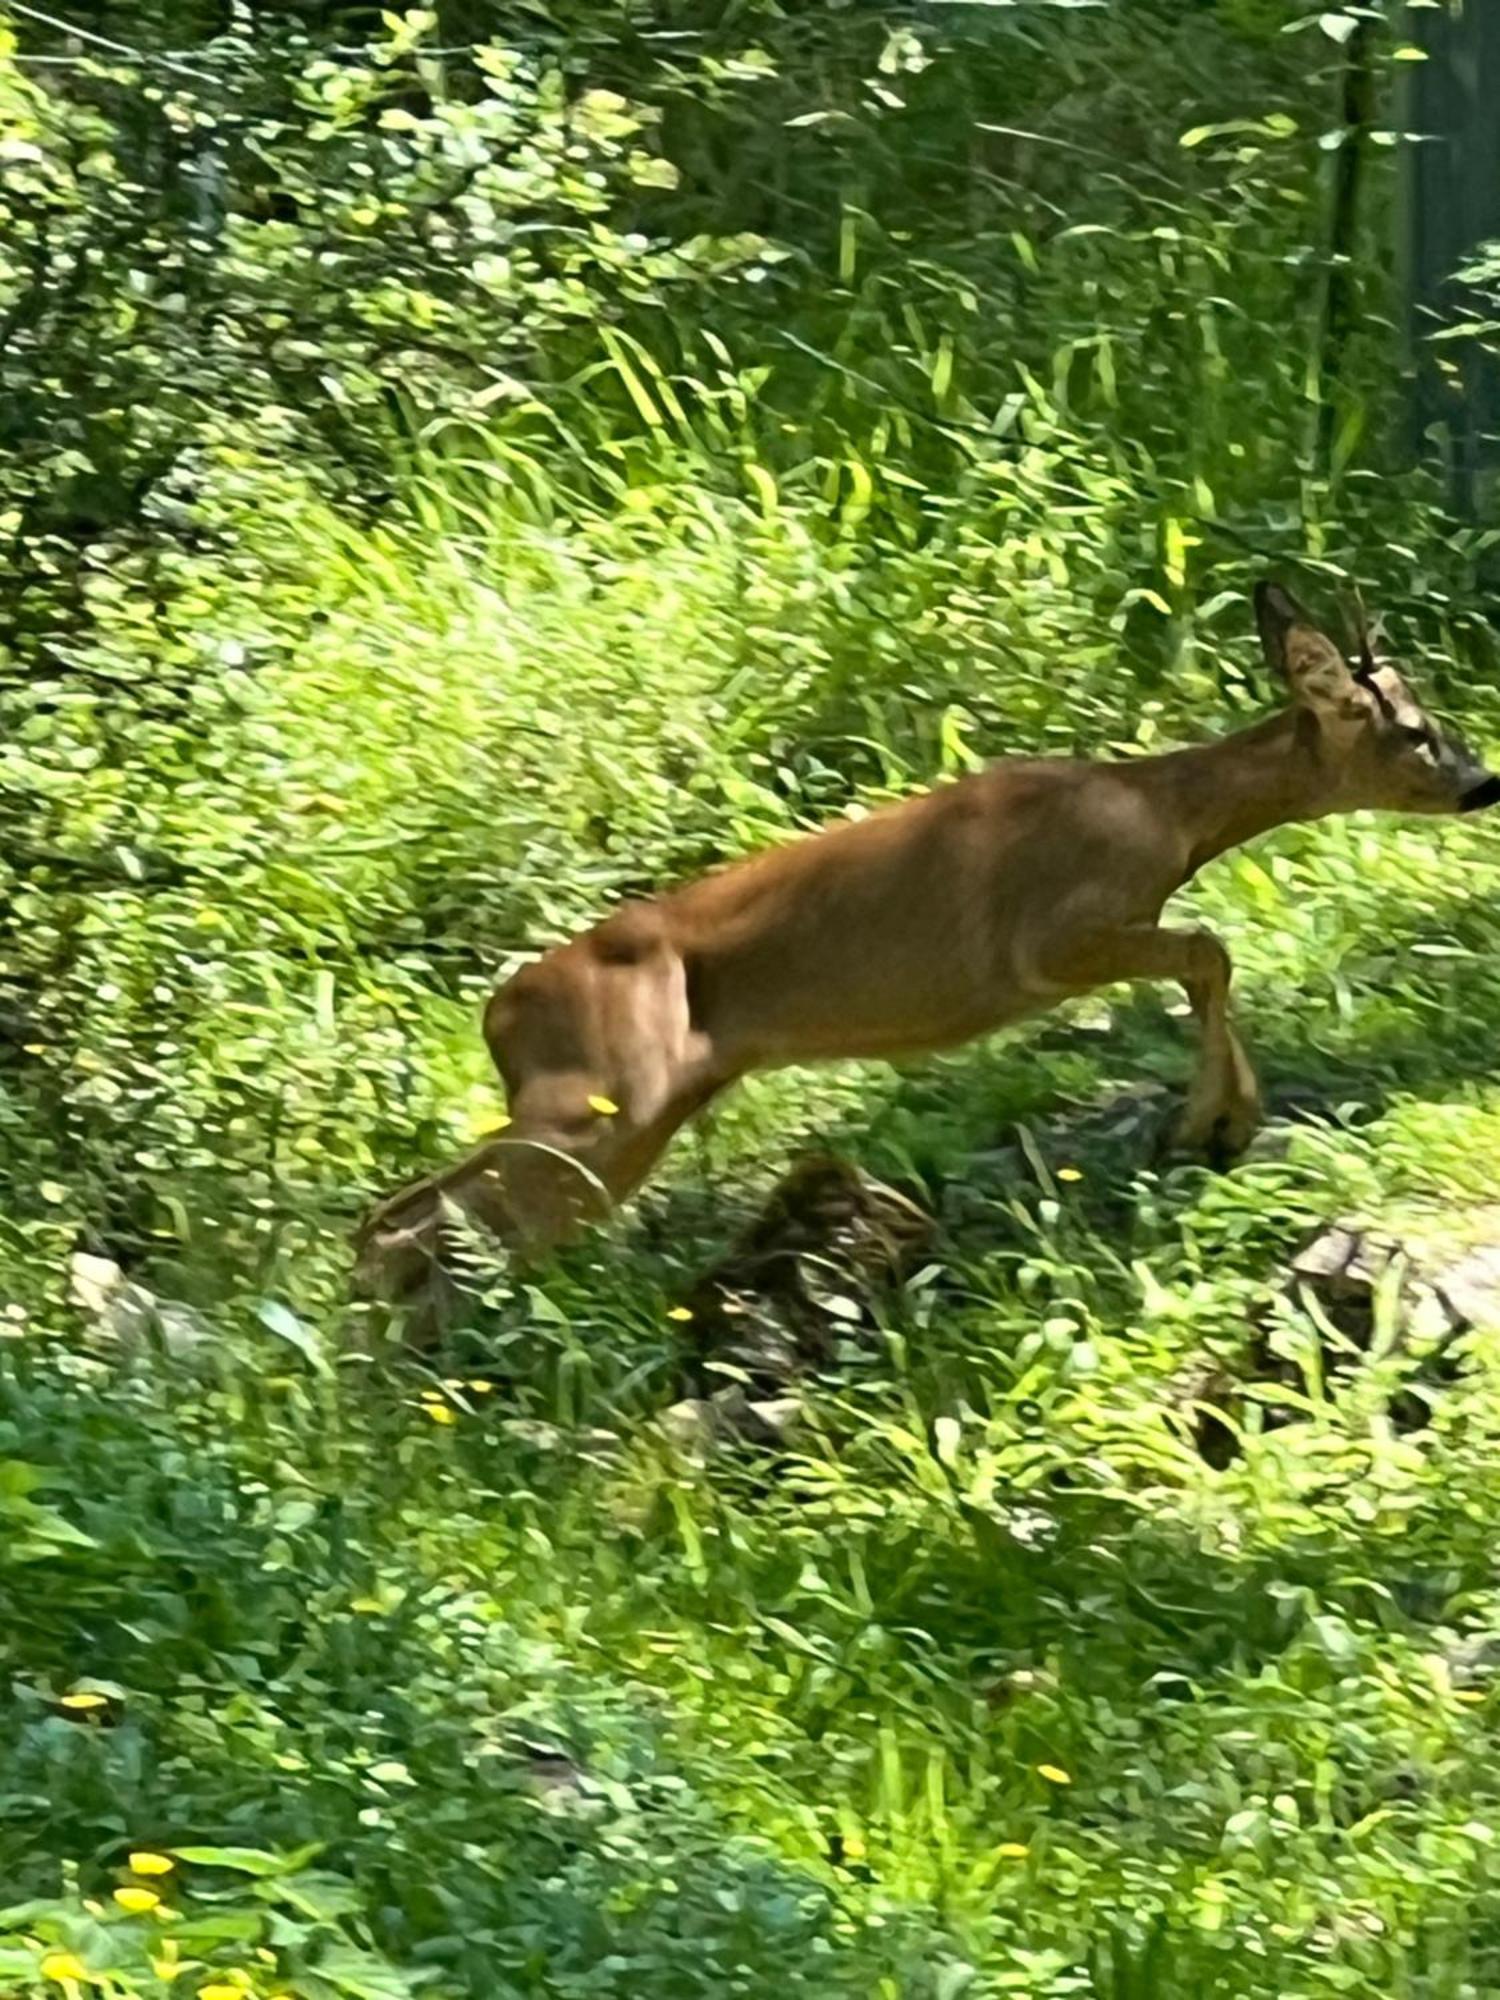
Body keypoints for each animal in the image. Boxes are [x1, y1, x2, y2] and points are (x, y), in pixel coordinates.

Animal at [358, 584, 1500, 1312]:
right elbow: (1209, 946)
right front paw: (1213, 1122)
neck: (1158, 814)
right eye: (1414, 731)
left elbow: (1207, 952)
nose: (1484, 782)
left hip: (627, 1110)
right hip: (604, 1100)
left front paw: (1213, 1123)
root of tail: (500, 1009)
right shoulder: (1049, 940)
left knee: (409, 1215)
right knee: (411, 1220)